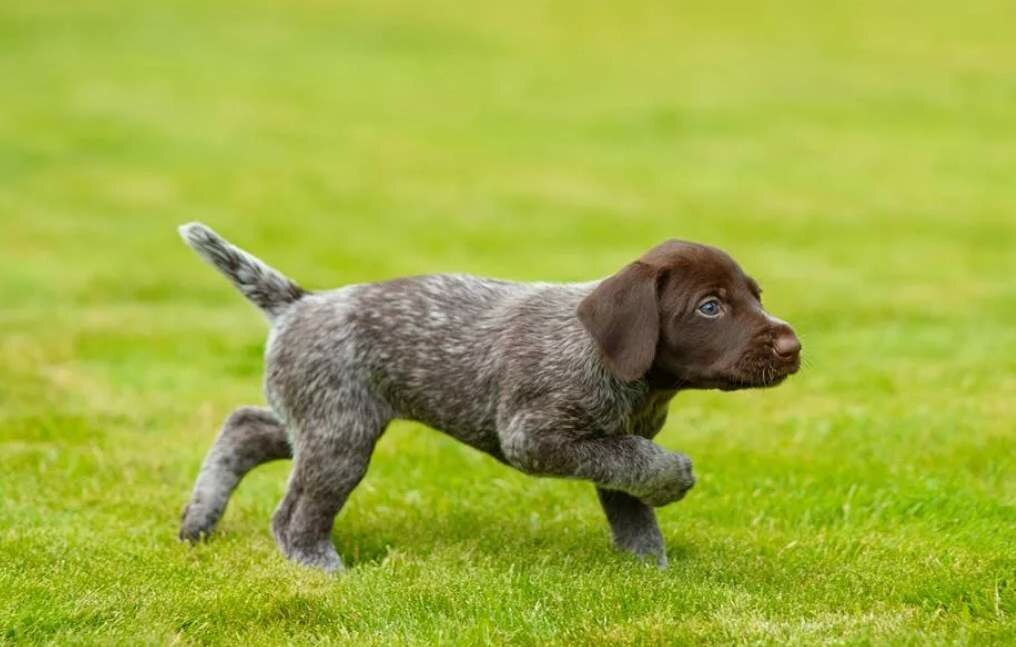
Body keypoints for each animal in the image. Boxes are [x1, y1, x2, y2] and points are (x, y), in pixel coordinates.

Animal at [180, 223, 800, 568]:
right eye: (710, 307)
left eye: (756, 295)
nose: (792, 346)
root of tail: (301, 304)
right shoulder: (538, 436)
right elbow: (645, 468)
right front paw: (675, 482)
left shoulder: (617, 439)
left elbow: (633, 500)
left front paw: (650, 572)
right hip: (340, 436)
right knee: (292, 517)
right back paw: (319, 569)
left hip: (319, 422)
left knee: (246, 426)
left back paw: (199, 518)